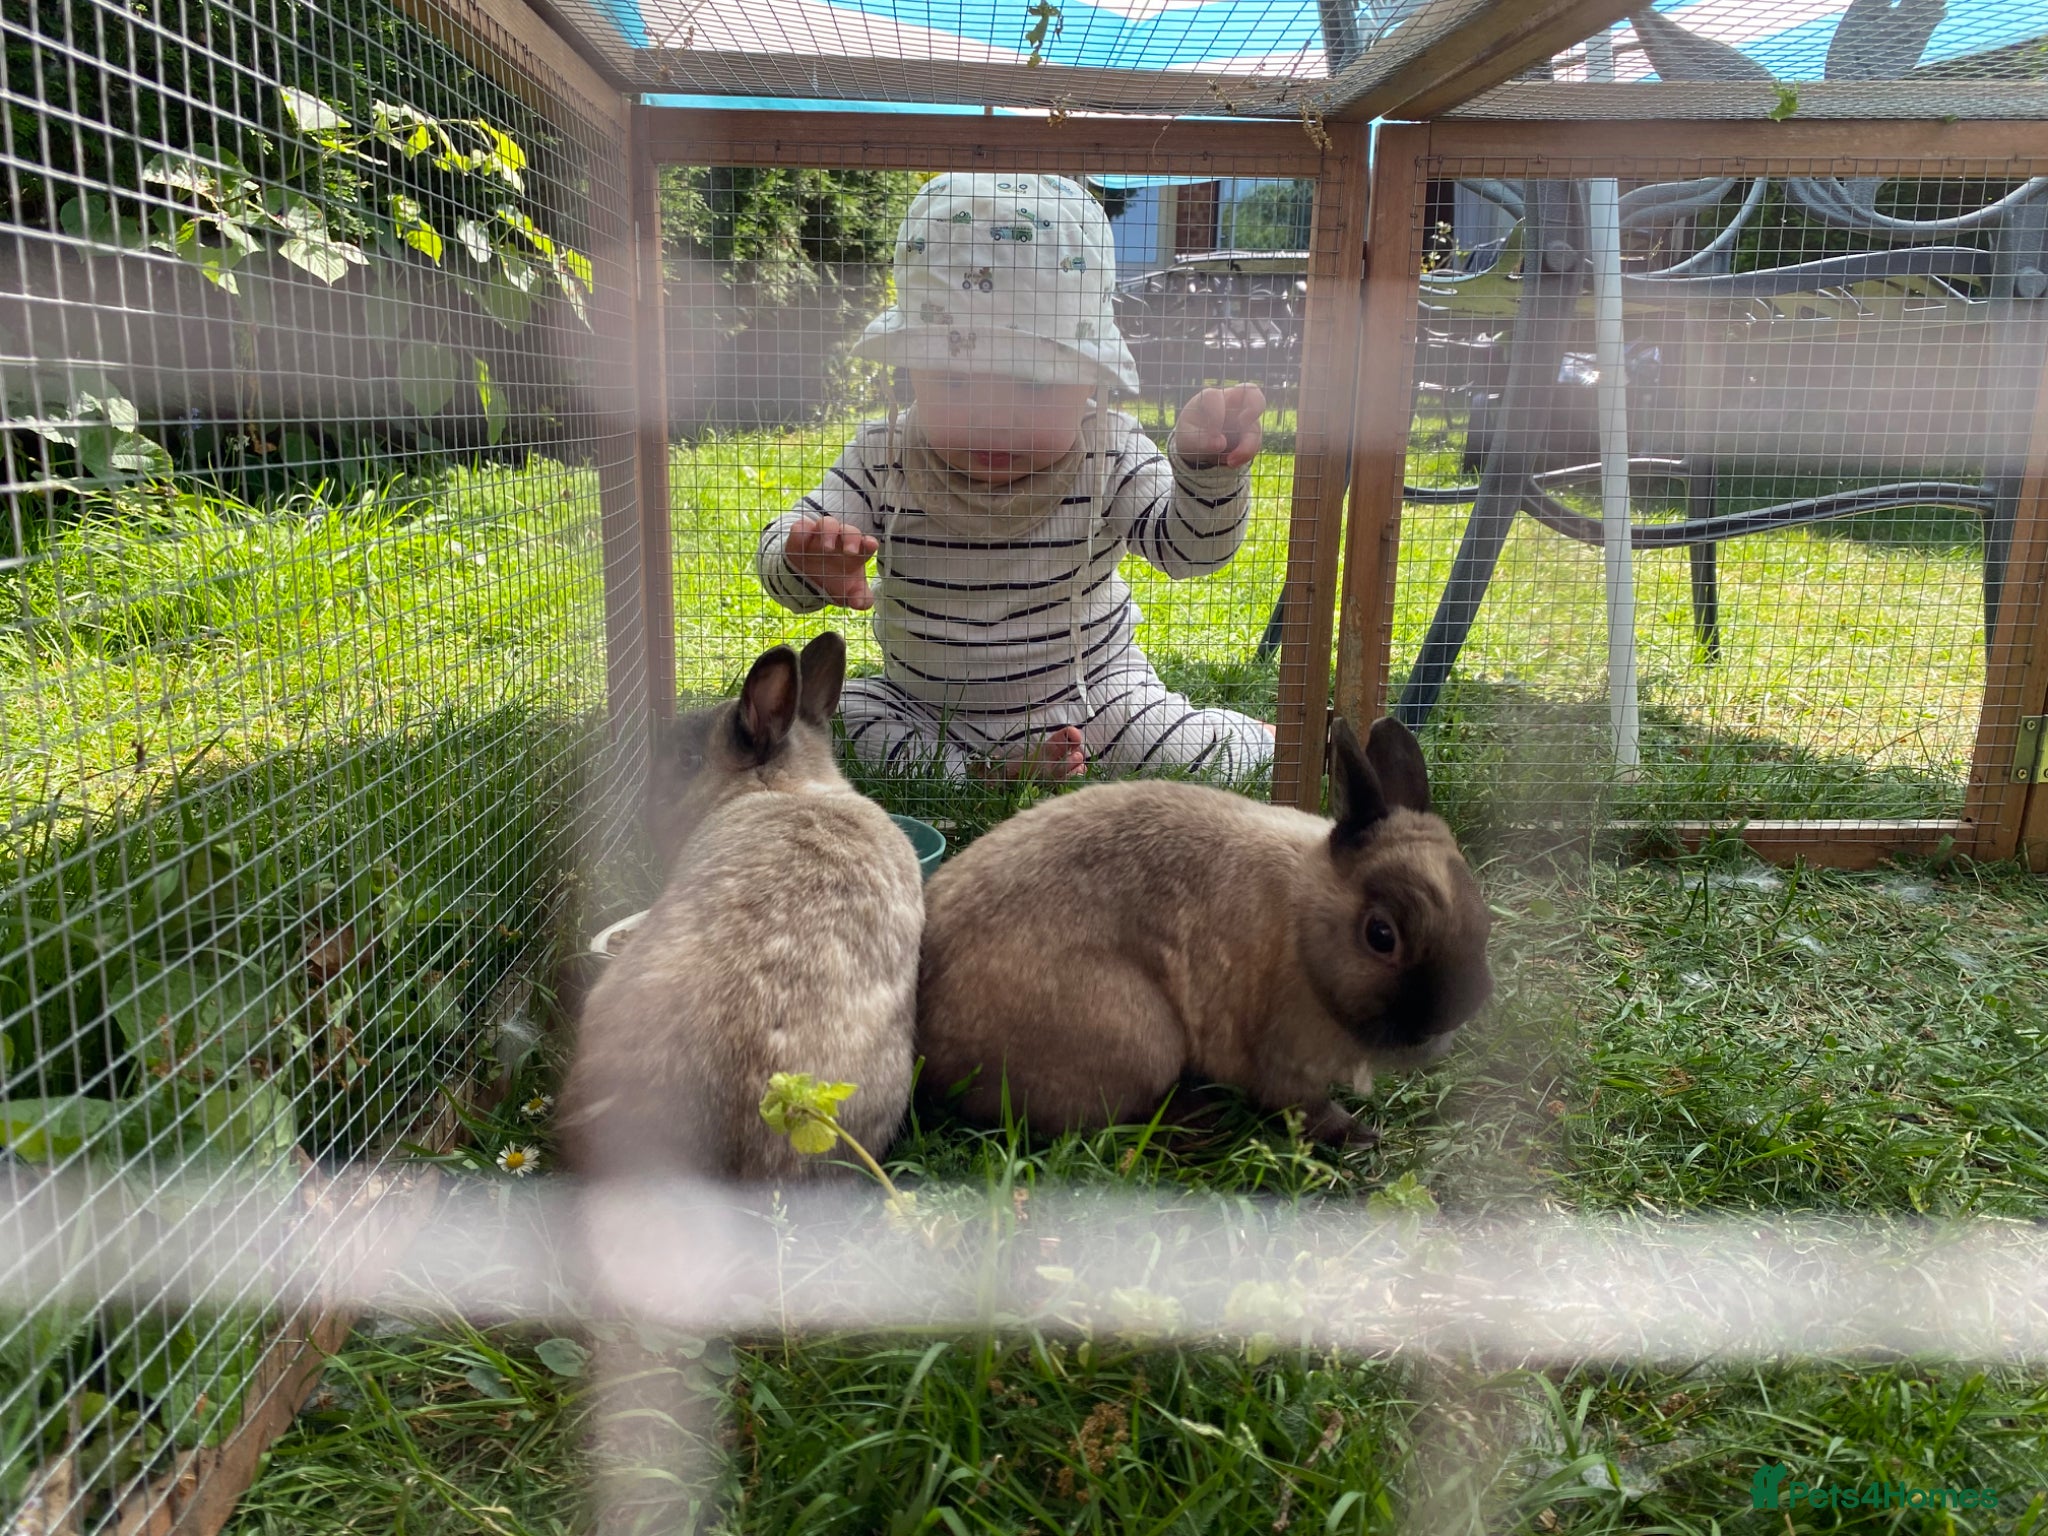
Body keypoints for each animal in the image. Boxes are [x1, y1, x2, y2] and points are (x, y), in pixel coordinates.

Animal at [915, 715, 1492, 1146]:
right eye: (1381, 936)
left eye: (1480, 913)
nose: (1451, 1013)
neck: (1305, 922)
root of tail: (925, 1040)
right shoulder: (1285, 1063)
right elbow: (1307, 1109)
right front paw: (1361, 1135)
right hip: (1139, 1035)